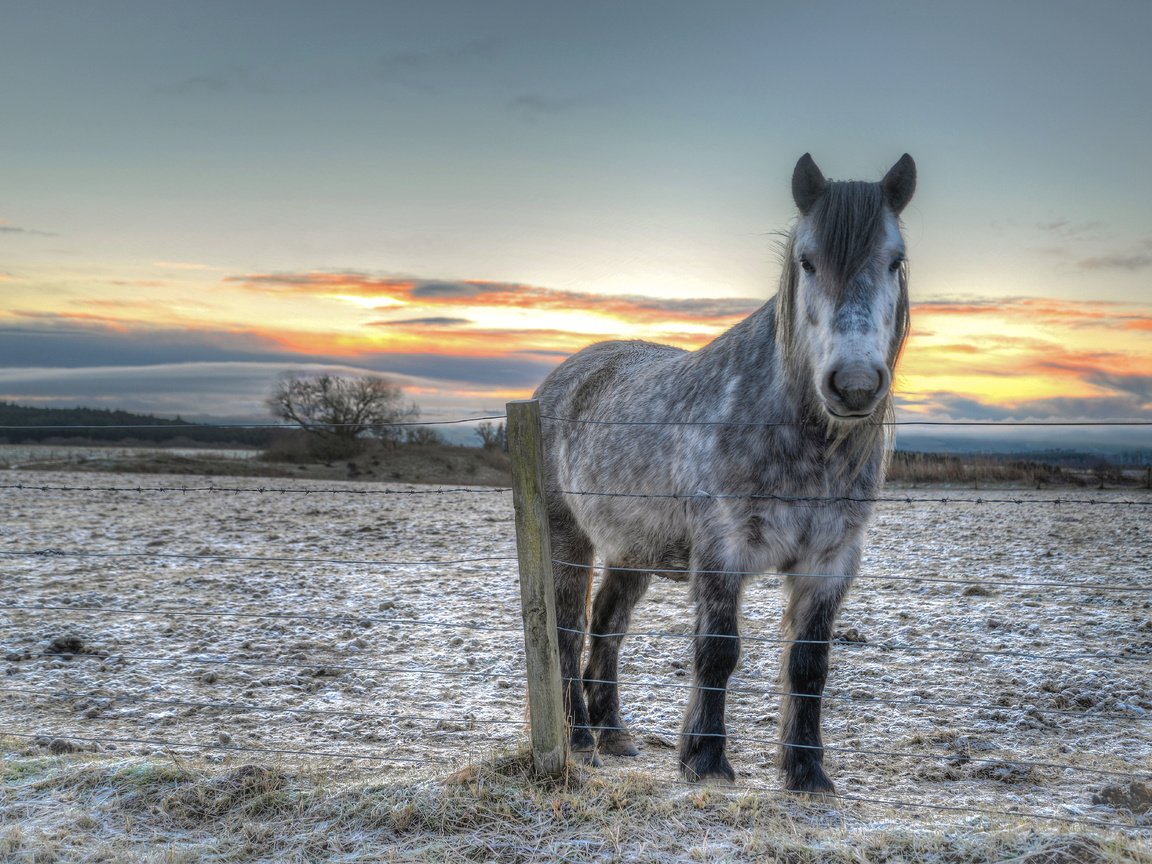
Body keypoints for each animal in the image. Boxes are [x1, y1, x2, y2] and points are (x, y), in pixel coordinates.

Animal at [532, 154, 916, 792]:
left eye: (895, 260)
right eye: (807, 261)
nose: (855, 384)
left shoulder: (830, 562)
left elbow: (809, 663)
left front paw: (806, 769)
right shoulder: (722, 551)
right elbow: (718, 651)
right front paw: (705, 759)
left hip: (630, 550)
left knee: (608, 627)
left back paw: (613, 734)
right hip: (568, 540)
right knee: (567, 633)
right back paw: (581, 739)